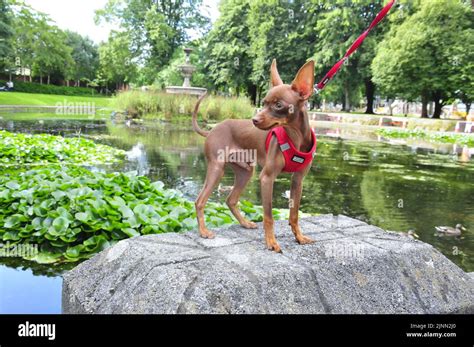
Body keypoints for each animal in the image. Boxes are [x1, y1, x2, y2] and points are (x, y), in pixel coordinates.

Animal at [191, 59, 316, 253]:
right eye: (263, 103)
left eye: (278, 105)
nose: (254, 120)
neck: (295, 138)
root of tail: (211, 130)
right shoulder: (267, 178)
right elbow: (268, 216)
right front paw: (271, 242)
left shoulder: (298, 180)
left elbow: (294, 214)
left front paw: (299, 237)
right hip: (217, 169)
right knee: (200, 201)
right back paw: (204, 231)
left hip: (245, 171)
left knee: (231, 200)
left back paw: (245, 223)